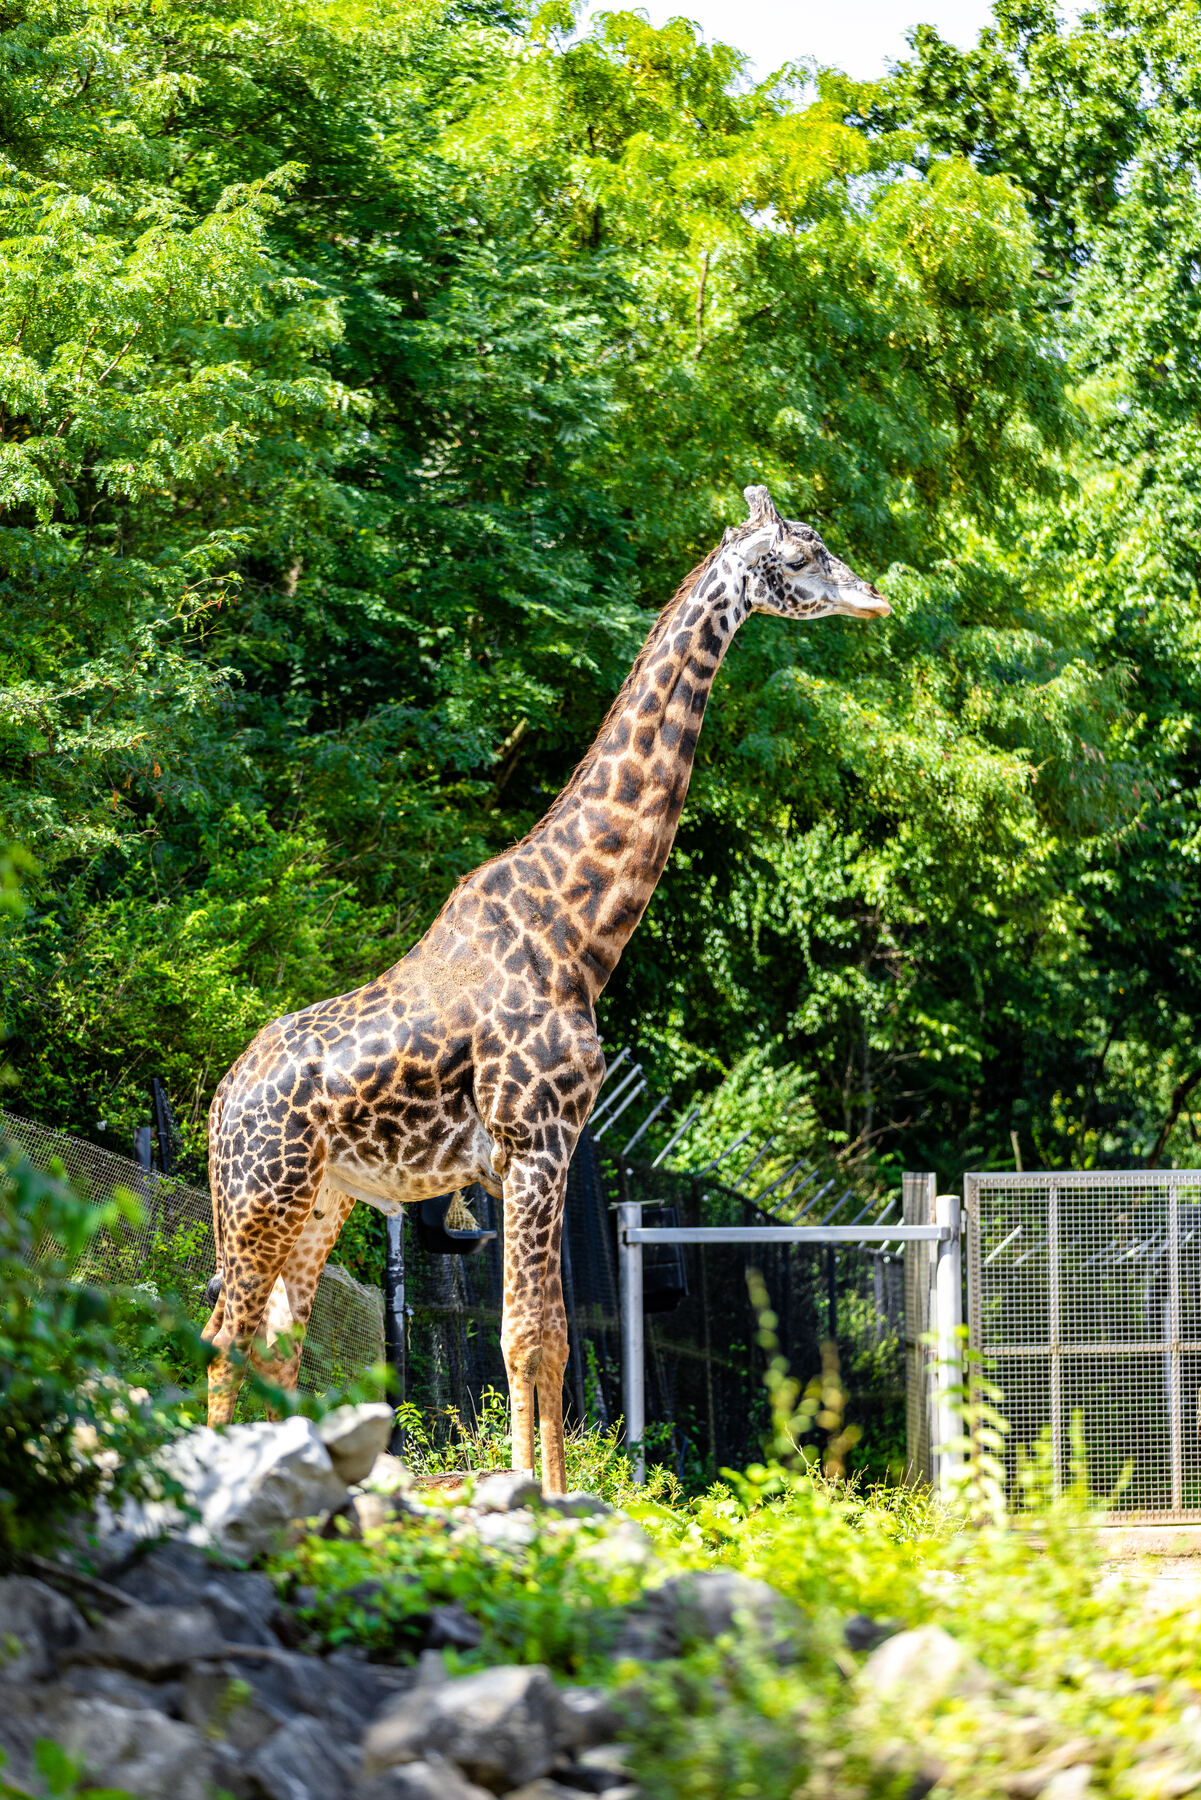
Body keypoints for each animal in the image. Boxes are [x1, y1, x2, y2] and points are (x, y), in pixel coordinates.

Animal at [201, 485, 889, 1490]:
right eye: (802, 557)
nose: (874, 600)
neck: (577, 935)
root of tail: (219, 1102)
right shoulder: (536, 1140)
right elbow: (535, 1339)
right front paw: (546, 1497)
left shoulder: (535, 1156)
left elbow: (535, 1334)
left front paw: (535, 1486)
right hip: (263, 1195)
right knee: (226, 1335)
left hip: (321, 1199)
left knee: (278, 1345)